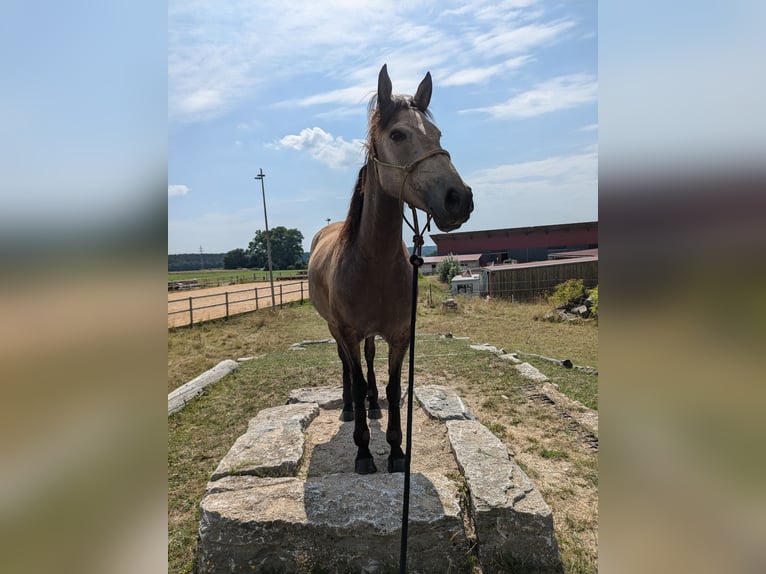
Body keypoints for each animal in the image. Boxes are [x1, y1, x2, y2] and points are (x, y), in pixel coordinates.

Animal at [308, 65, 474, 474]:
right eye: (397, 134)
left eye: (438, 134)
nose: (458, 198)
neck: (373, 264)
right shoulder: (348, 332)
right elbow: (355, 375)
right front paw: (364, 451)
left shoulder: (400, 335)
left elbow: (394, 388)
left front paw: (397, 449)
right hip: (335, 329)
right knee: (348, 368)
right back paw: (350, 408)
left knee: (369, 364)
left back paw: (371, 407)